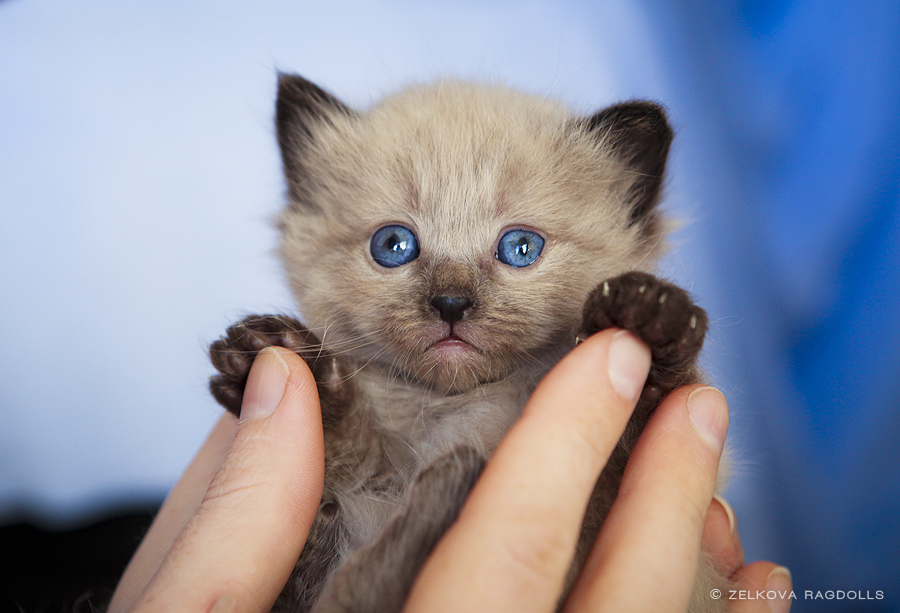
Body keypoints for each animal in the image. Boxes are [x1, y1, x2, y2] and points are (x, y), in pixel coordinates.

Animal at [207, 74, 728, 608]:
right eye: (393, 245)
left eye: (521, 248)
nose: (451, 303)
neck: (454, 407)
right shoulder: (378, 489)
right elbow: (354, 460)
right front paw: (295, 367)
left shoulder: (603, 506)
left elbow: (631, 440)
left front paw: (645, 318)